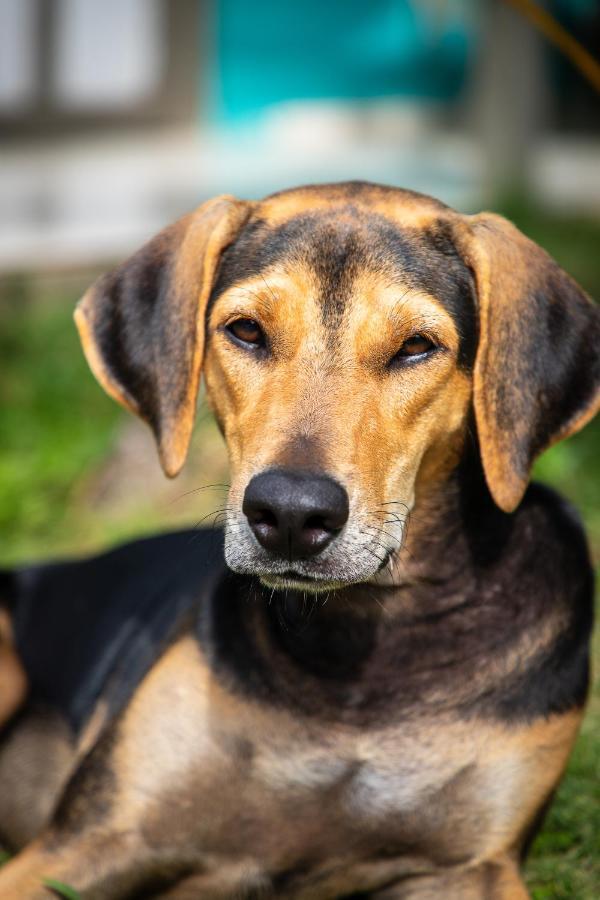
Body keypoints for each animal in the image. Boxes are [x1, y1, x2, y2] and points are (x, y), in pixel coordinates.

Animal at [1, 179, 600, 896]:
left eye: (416, 347)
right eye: (246, 331)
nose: (289, 514)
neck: (359, 646)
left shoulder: (476, 868)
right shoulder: (86, 839)